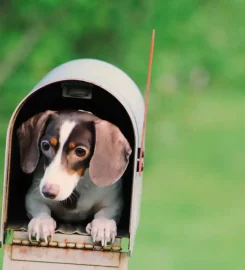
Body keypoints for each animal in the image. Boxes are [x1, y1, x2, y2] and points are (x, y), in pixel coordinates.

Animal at [16, 109, 132, 247]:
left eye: (80, 151)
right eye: (45, 146)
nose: (48, 192)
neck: (78, 185)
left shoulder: (114, 202)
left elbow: (105, 213)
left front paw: (103, 226)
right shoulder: (33, 197)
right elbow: (41, 209)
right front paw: (41, 222)